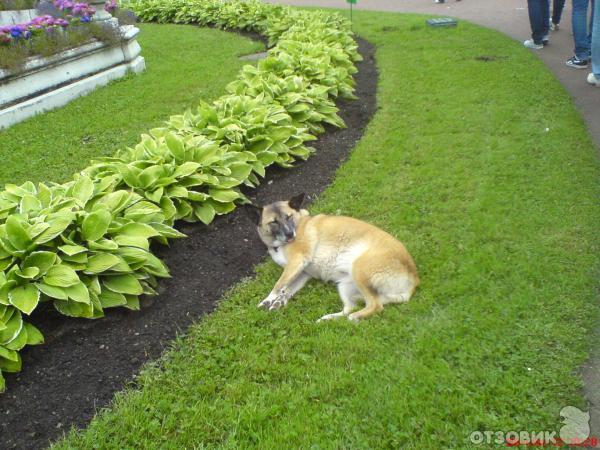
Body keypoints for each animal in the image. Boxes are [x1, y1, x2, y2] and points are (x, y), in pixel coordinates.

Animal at [246, 192, 420, 320]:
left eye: (288, 217)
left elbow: (279, 284)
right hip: (345, 286)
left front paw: (268, 300)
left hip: (359, 270)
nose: (290, 235)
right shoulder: (303, 273)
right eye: (273, 222)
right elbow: (287, 288)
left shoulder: (297, 261)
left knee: (375, 306)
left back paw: (355, 318)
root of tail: (414, 279)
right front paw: (278, 301)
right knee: (350, 307)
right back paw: (329, 318)